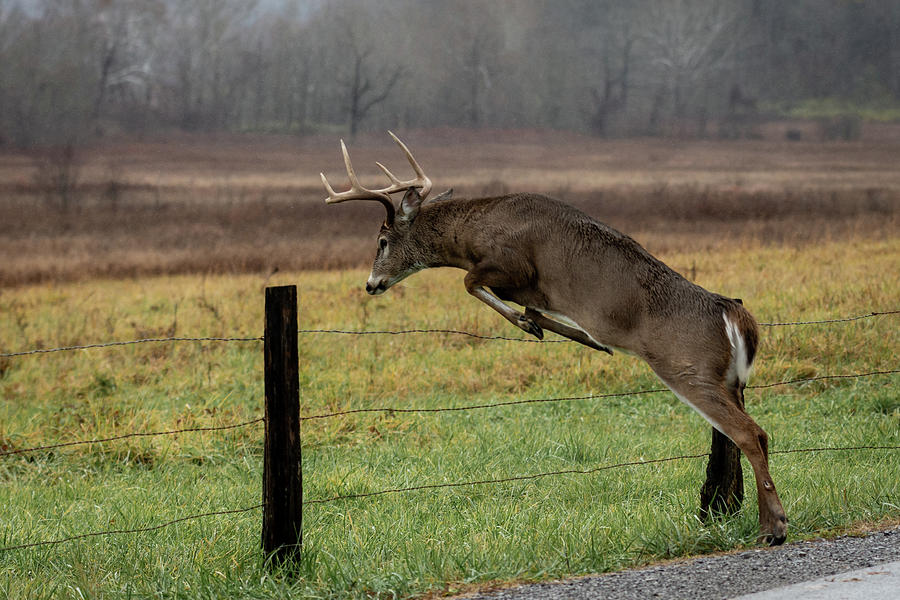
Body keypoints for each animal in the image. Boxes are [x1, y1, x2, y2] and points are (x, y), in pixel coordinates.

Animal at [322, 134, 788, 548]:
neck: (472, 233)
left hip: (687, 367)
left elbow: (472, 283)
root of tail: (732, 313)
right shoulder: (526, 285)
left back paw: (774, 528)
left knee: (750, 433)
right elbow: (528, 307)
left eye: (382, 241)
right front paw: (570, 333)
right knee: (753, 434)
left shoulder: (511, 263)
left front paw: (540, 327)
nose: (371, 284)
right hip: (731, 381)